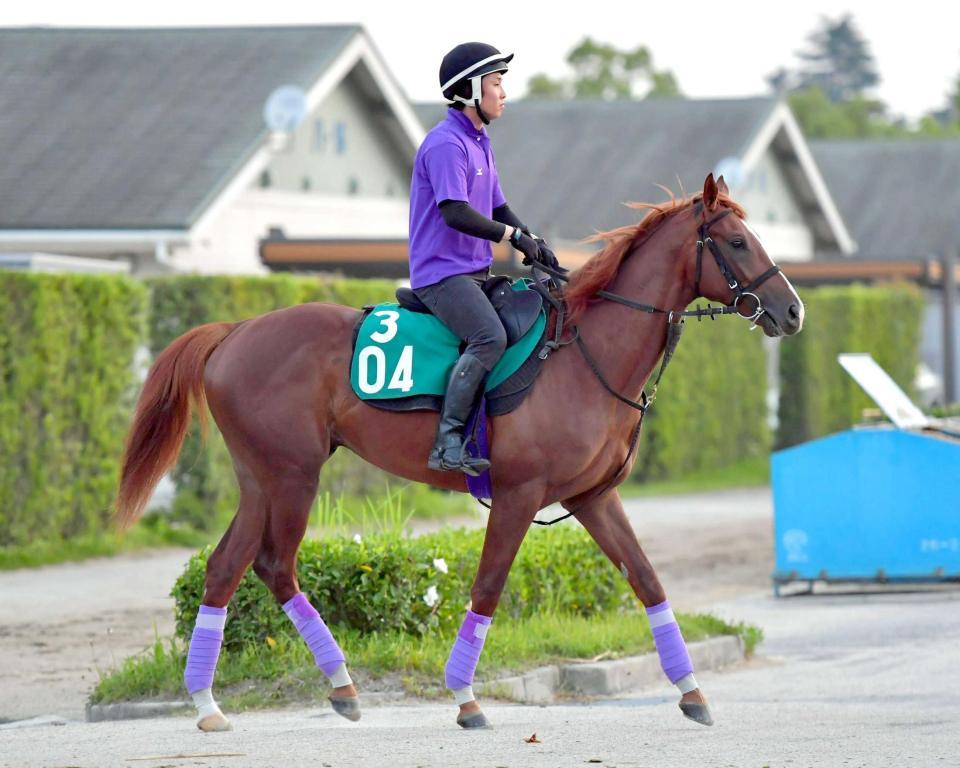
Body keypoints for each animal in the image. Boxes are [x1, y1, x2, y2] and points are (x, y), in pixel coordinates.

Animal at [112, 176, 804, 732]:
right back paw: (309, 689)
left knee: (232, 567)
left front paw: (692, 692)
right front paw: (466, 697)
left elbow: (648, 580)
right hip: (291, 476)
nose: (792, 310)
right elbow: (488, 589)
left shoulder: (592, 497)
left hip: (262, 480)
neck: (586, 351)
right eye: (736, 242)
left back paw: (233, 700)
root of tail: (234, 332)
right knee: (272, 565)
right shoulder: (520, 496)